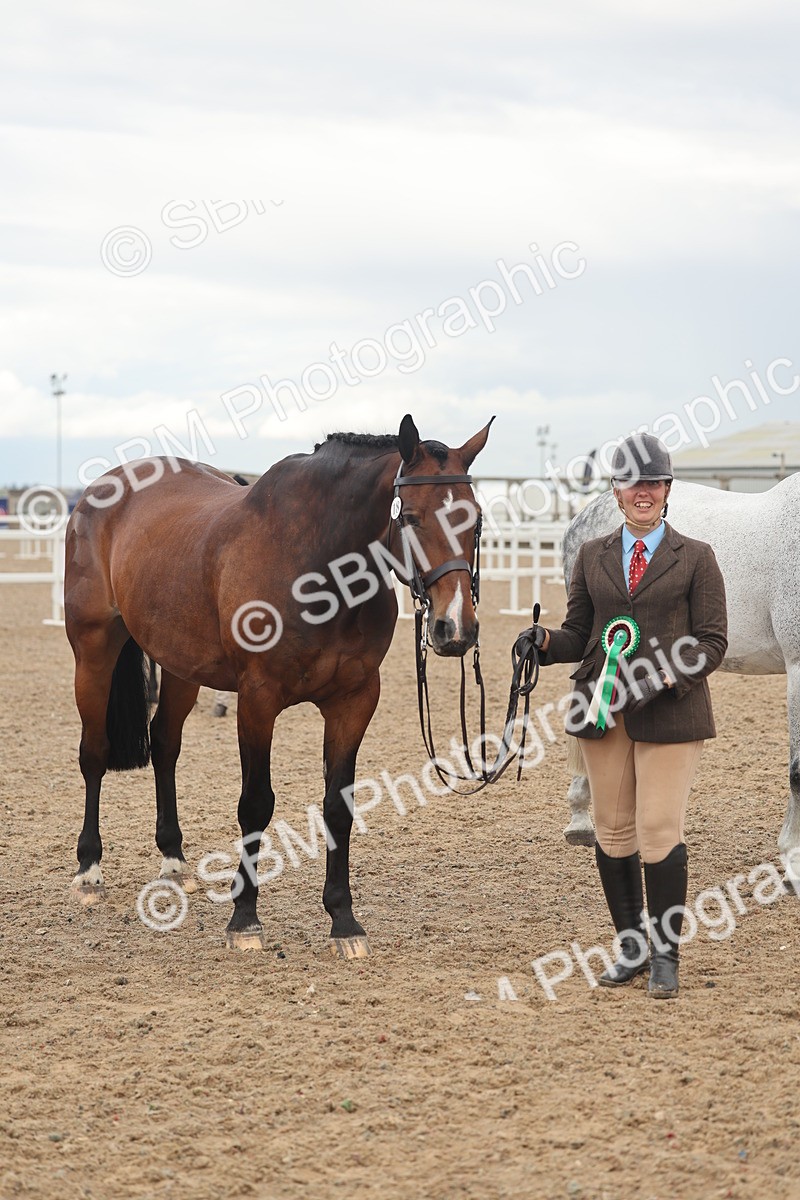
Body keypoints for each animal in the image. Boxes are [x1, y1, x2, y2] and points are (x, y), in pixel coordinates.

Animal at [64, 414, 492, 955]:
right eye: (411, 518)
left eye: (474, 521)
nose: (455, 628)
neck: (317, 566)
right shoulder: (257, 700)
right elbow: (255, 804)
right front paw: (244, 919)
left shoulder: (355, 701)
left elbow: (338, 806)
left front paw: (343, 920)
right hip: (93, 651)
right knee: (94, 752)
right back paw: (89, 870)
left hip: (180, 667)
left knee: (164, 745)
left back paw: (174, 860)